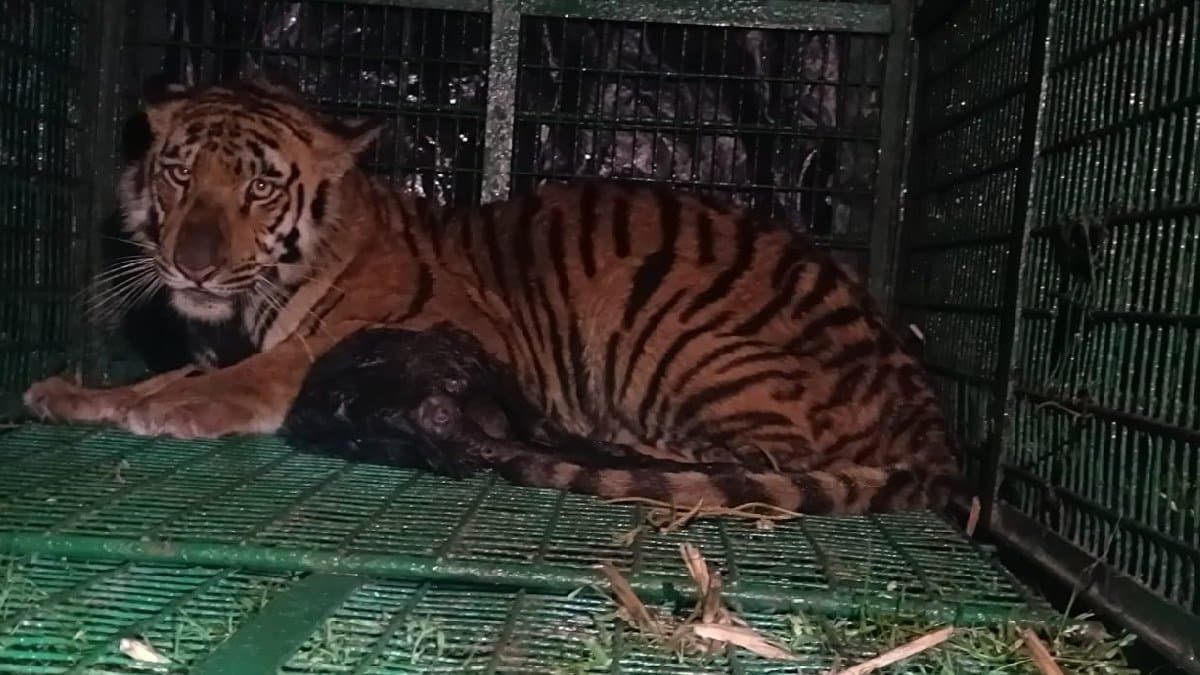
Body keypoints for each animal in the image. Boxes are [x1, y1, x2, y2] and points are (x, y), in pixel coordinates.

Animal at [23, 77, 962, 514]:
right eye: (179, 173)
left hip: (681, 332)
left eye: (257, 188)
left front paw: (175, 406)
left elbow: (278, 367)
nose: (191, 266)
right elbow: (159, 373)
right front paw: (76, 393)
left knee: (748, 456)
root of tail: (929, 411)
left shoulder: (441, 330)